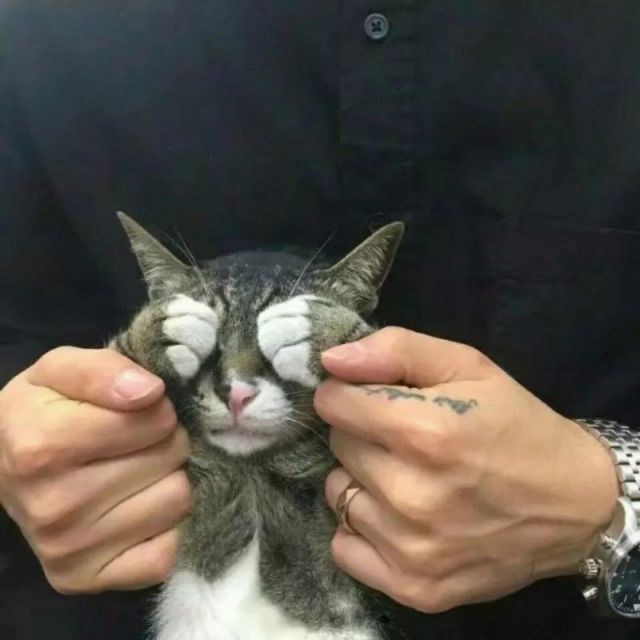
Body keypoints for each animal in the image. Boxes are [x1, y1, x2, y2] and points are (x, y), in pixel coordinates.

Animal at [112, 212, 405, 640]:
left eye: (272, 356)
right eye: (212, 350)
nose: (236, 393)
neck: (251, 471)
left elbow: (388, 363)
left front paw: (324, 328)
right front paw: (155, 328)